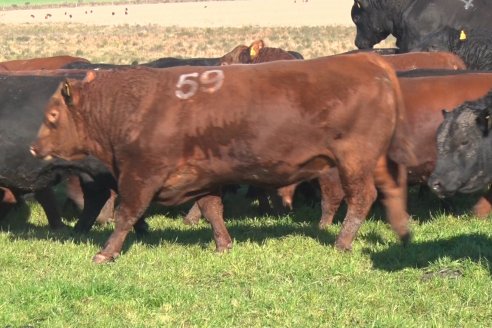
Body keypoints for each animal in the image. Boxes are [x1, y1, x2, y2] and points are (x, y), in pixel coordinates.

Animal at [31, 53, 416, 264]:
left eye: (52, 116)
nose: (34, 149)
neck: (134, 105)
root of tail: (367, 60)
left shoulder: (141, 174)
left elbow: (126, 214)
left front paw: (106, 252)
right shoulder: (201, 177)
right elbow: (211, 209)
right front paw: (223, 244)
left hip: (354, 159)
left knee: (361, 197)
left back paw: (342, 242)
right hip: (374, 161)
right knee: (390, 191)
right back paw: (401, 233)